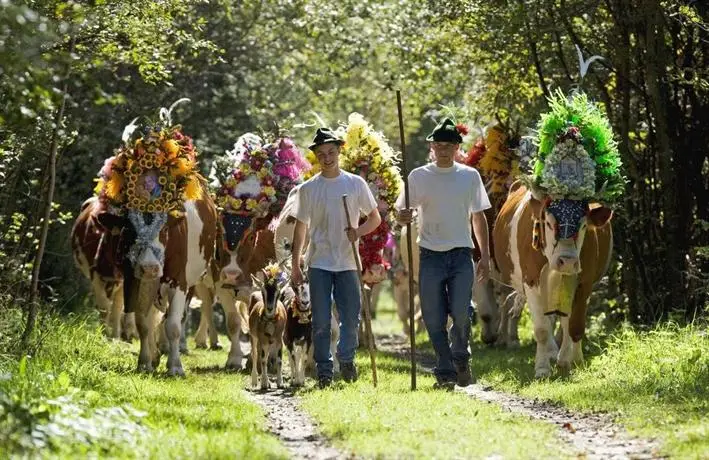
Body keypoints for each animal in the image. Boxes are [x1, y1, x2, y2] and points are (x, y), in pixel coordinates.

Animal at [71, 198, 137, 342]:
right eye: (123, 233)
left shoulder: (123, 282)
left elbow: (117, 308)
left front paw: (116, 336)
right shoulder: (95, 275)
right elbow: (104, 306)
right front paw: (103, 333)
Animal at [97, 192, 217, 376]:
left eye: (165, 229)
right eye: (130, 230)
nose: (150, 268)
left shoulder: (179, 282)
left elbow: (173, 325)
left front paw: (175, 366)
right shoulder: (135, 281)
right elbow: (143, 325)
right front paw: (145, 362)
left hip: (192, 283)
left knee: (176, 318)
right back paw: (155, 355)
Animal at [492, 183, 612, 378]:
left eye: (583, 226)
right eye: (548, 223)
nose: (567, 261)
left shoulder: (584, 283)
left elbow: (574, 326)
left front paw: (570, 361)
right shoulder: (531, 281)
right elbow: (541, 329)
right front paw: (542, 368)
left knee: (564, 323)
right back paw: (550, 351)